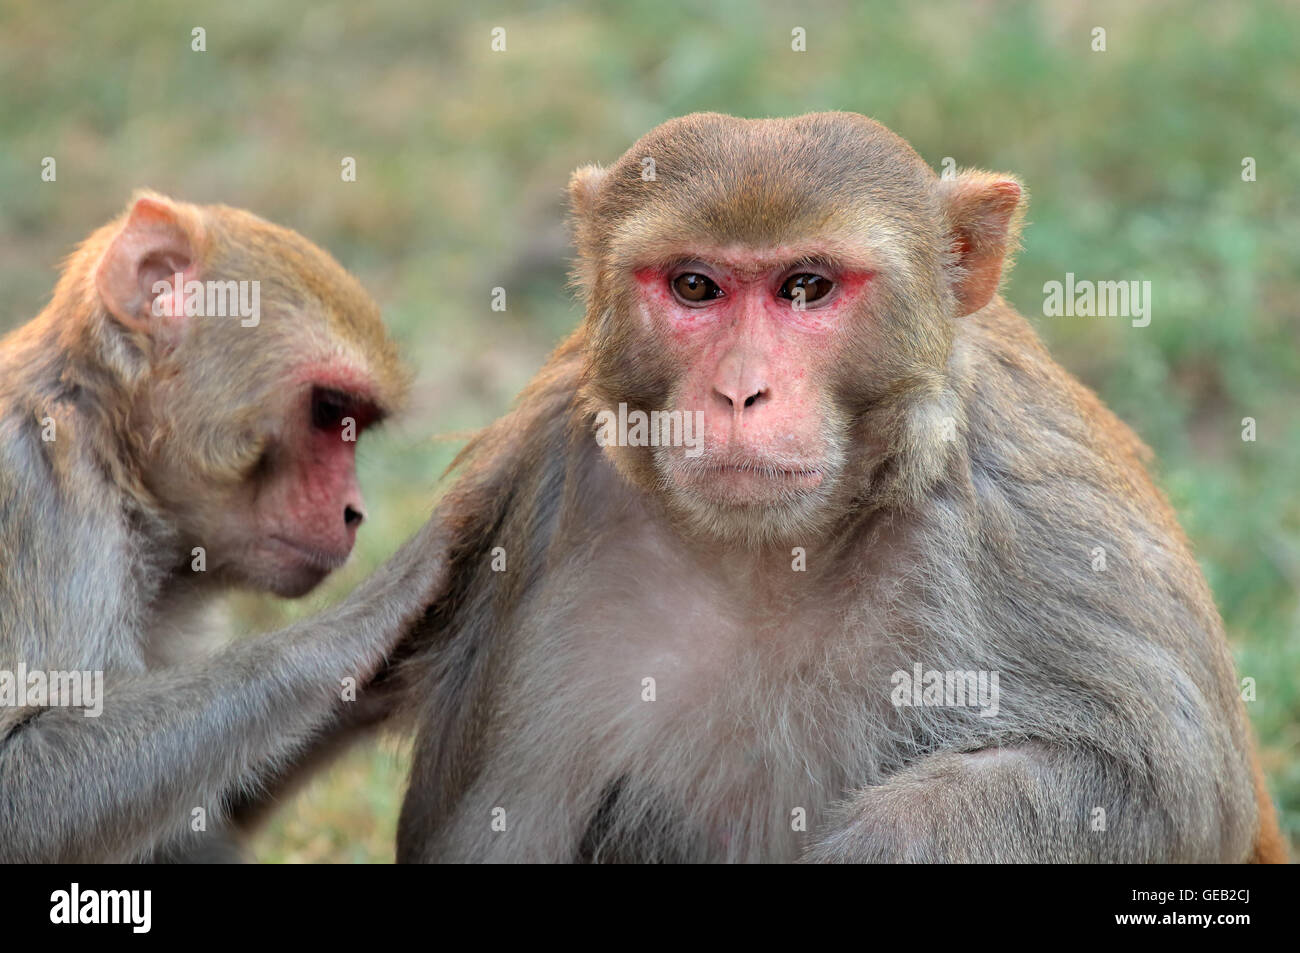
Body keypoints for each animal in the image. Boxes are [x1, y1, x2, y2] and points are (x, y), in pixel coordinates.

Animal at [1, 193, 447, 863]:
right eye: (328, 411)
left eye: (355, 423)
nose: (354, 510)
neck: (112, 451)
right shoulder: (35, 497)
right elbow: (20, 791)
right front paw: (386, 600)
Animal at [397, 113, 1289, 863]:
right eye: (694, 286)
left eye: (805, 287)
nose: (740, 392)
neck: (769, 556)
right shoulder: (556, 483)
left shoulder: (1032, 512)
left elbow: (1170, 783)